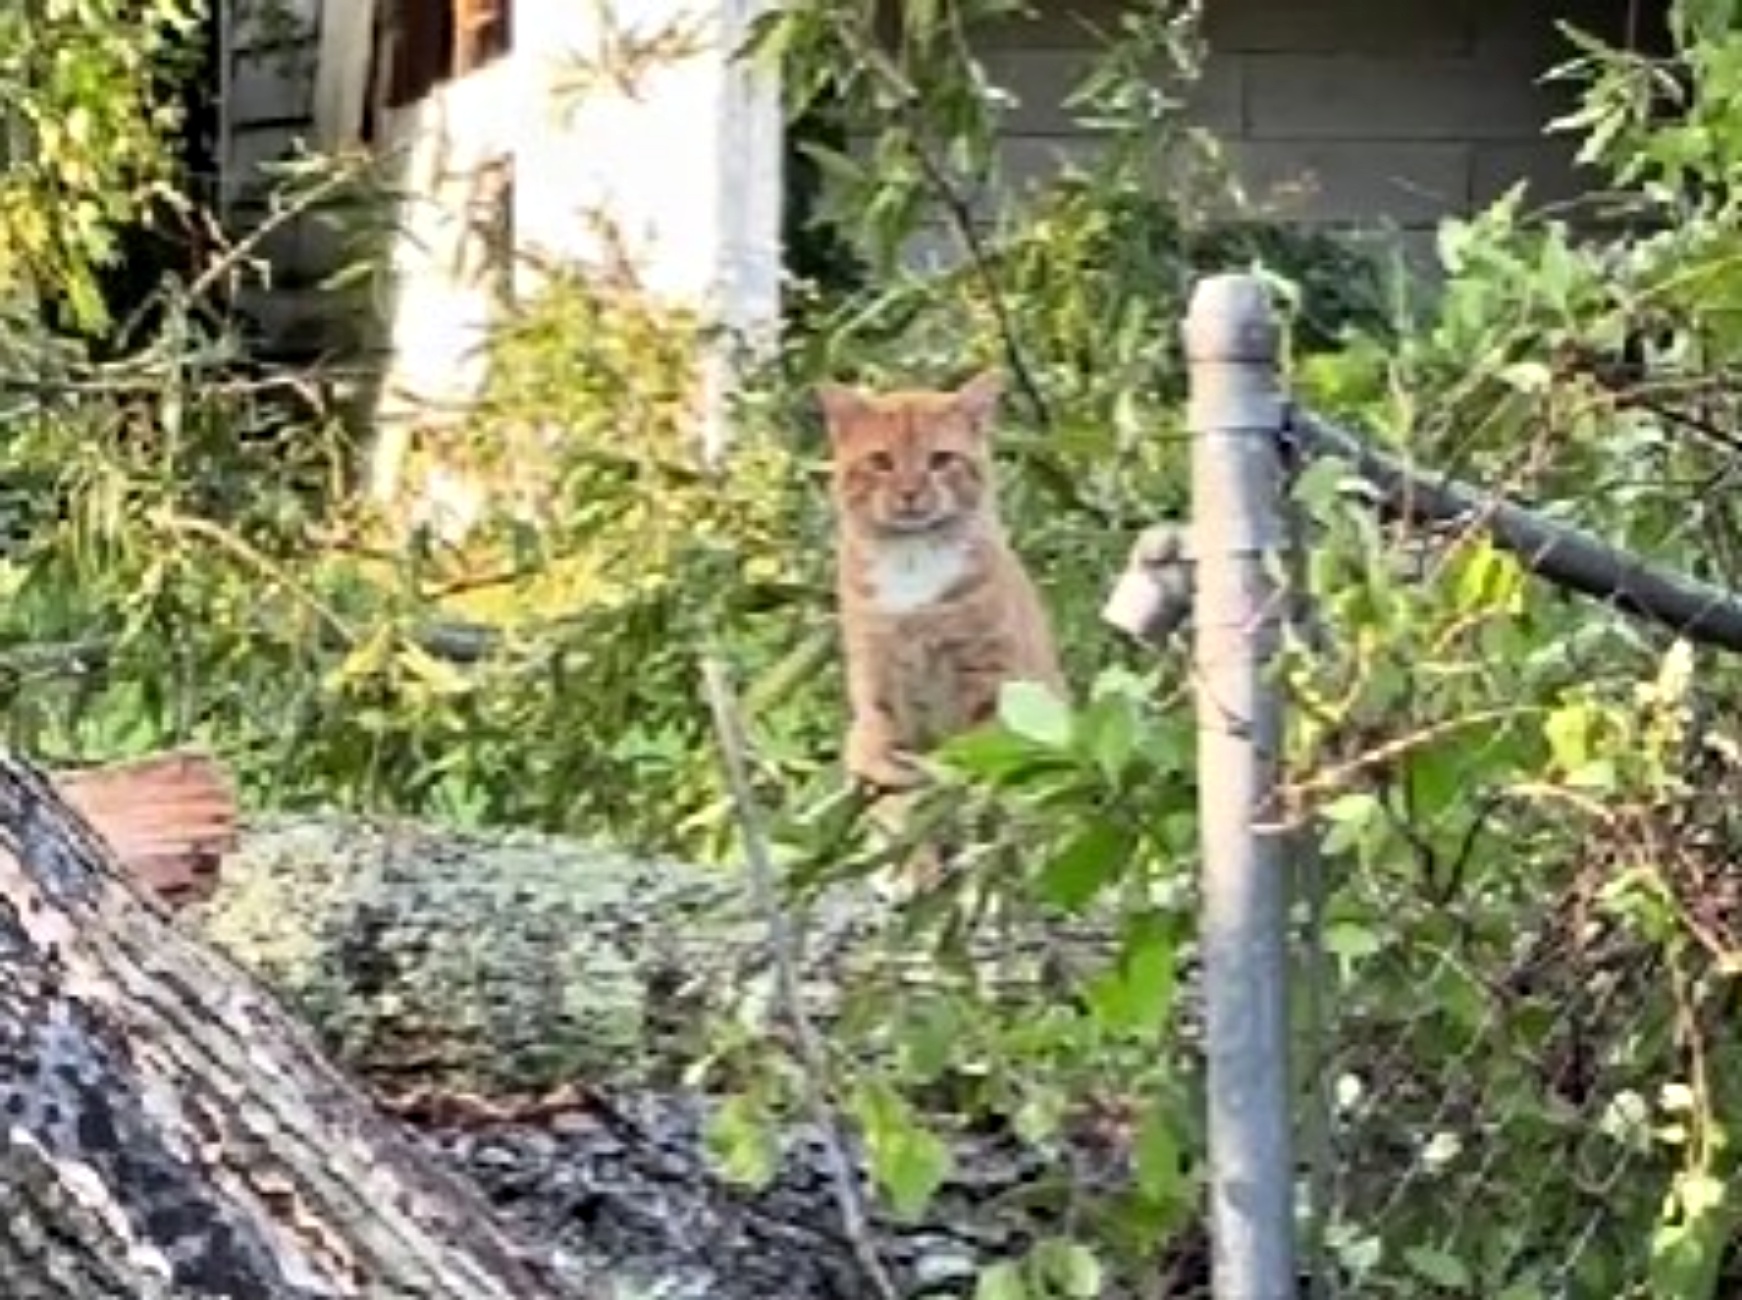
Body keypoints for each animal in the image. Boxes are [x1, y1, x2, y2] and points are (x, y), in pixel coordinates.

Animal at [815, 362, 1059, 791]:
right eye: (881, 461)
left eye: (941, 459)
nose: (910, 493)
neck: (912, 557)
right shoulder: (872, 654)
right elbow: (877, 710)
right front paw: (875, 753)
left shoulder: (990, 658)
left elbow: (988, 723)